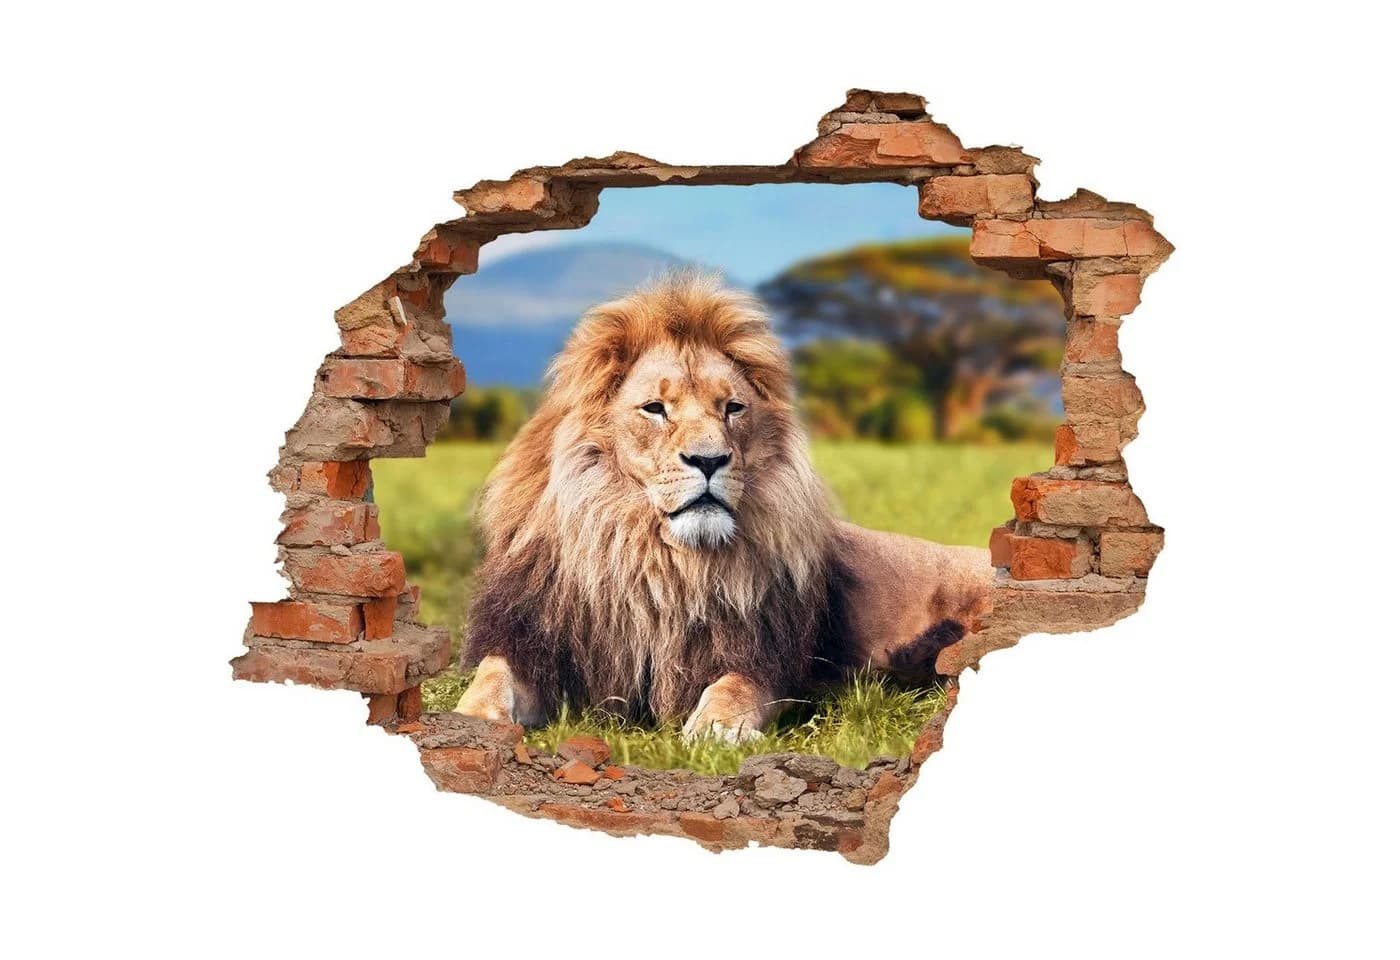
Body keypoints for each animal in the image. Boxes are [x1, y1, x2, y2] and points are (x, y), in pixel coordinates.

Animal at [454, 273, 993, 741]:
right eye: (655, 409)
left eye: (732, 408)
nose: (709, 459)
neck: (656, 561)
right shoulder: (532, 640)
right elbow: (491, 677)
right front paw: (471, 720)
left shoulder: (765, 660)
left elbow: (731, 691)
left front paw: (716, 730)